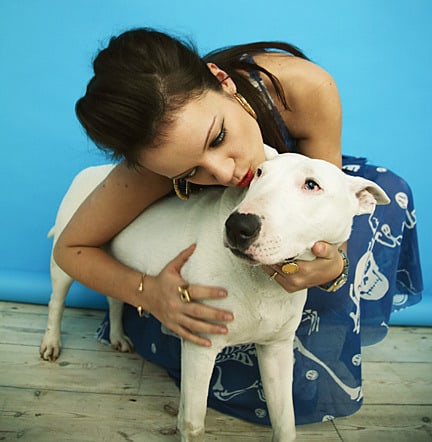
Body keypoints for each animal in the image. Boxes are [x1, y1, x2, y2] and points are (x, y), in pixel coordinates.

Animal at [42, 147, 390, 440]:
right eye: (259, 173)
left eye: (311, 185)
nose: (238, 225)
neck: (263, 283)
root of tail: (91, 170)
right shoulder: (200, 345)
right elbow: (193, 422)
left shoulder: (276, 350)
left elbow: (285, 421)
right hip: (65, 258)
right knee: (57, 301)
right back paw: (51, 344)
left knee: (115, 297)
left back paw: (117, 336)